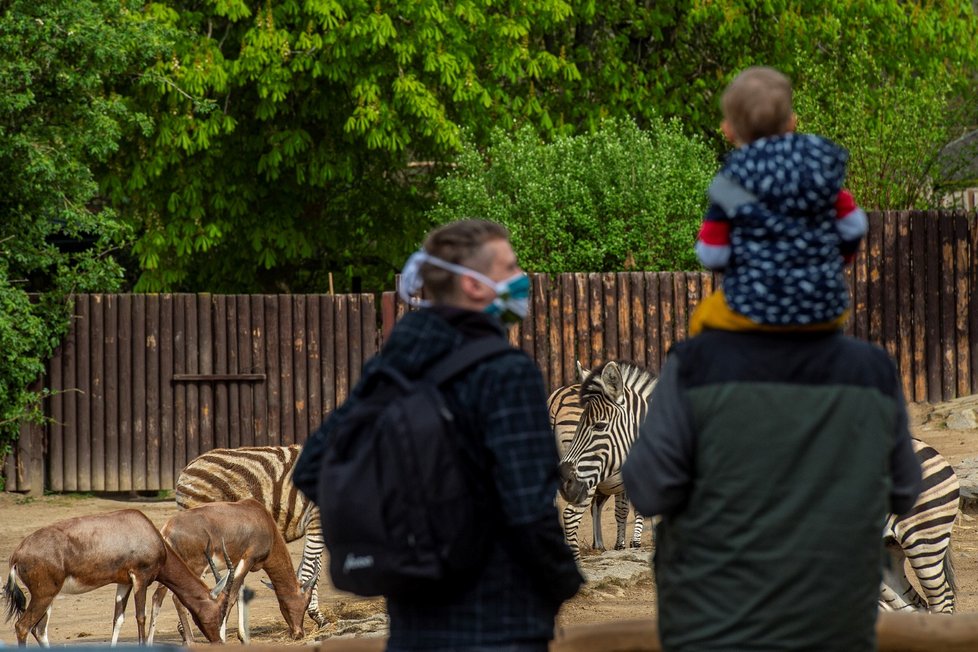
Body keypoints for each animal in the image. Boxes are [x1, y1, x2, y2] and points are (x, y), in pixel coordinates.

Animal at [1, 510, 234, 648]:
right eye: (220, 610)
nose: (218, 641)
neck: (144, 529)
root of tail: (17, 554)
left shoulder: (123, 582)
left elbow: (118, 620)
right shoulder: (141, 577)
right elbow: (140, 616)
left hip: (48, 597)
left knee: (39, 630)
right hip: (44, 595)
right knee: (23, 627)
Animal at [147, 500, 314, 640]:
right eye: (305, 602)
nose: (299, 633)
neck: (260, 518)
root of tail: (167, 529)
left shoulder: (237, 563)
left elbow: (239, 594)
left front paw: (243, 637)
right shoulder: (248, 560)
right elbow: (231, 596)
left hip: (169, 569)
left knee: (157, 598)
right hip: (195, 567)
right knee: (178, 599)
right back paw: (190, 641)